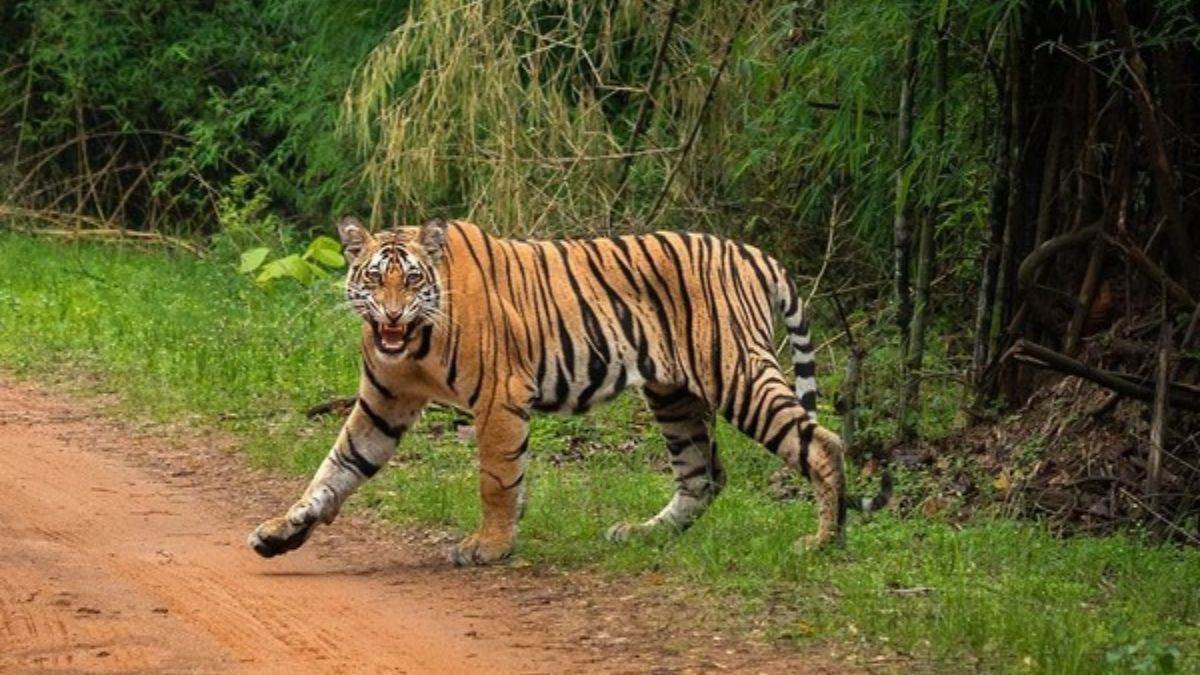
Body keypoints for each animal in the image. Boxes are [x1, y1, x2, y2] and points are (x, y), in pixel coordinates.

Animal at [248, 217, 890, 565]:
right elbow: (334, 470)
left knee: (822, 443)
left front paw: (490, 546)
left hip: (737, 373)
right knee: (703, 475)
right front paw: (281, 532)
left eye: (410, 280)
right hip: (674, 395)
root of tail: (755, 253)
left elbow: (497, 478)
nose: (391, 315)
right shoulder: (382, 405)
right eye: (373, 279)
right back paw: (642, 535)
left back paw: (823, 542)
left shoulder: (499, 397)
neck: (414, 345)